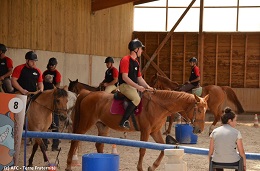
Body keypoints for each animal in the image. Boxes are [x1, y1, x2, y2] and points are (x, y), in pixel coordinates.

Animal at [65, 89, 209, 171]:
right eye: (198, 110)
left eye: (205, 110)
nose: (199, 130)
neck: (158, 106)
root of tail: (88, 94)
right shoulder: (146, 131)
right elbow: (143, 150)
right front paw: (140, 168)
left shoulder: (155, 131)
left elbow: (163, 147)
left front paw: (152, 166)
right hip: (85, 123)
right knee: (74, 140)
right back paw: (68, 165)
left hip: (103, 126)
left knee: (99, 144)